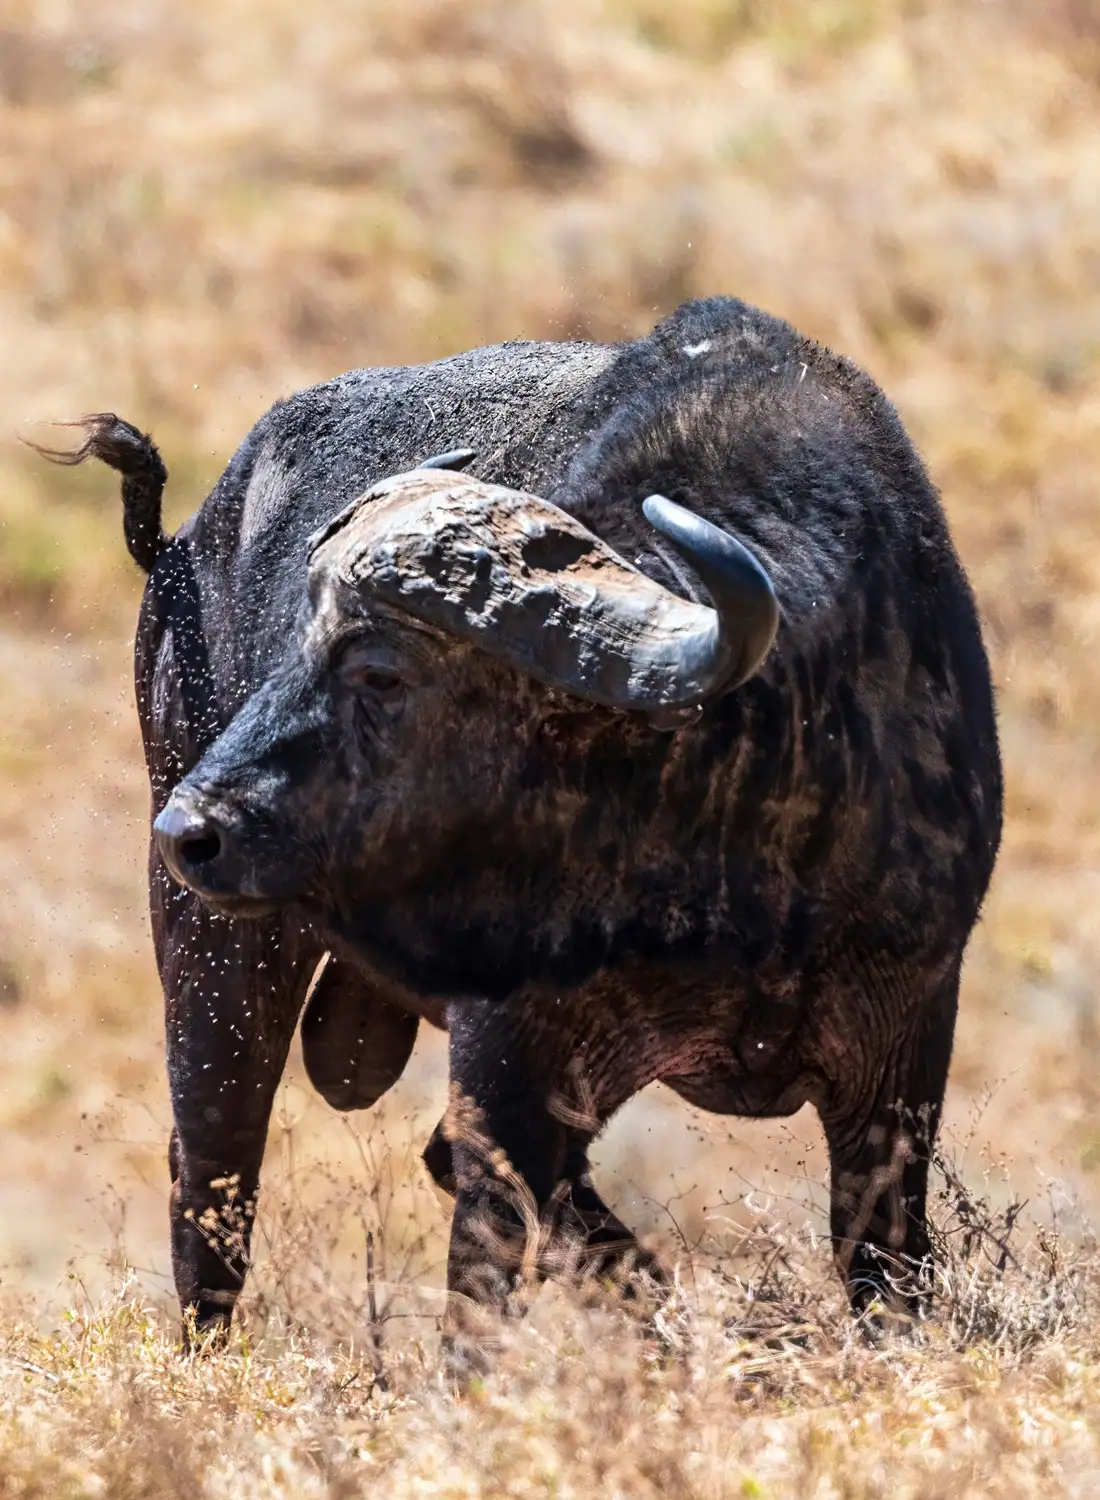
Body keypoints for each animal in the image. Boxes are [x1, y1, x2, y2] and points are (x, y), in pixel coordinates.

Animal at [41, 296, 1002, 1356]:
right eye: (298, 642)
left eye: (381, 674)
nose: (193, 828)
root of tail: (177, 546)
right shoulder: (508, 1062)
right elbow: (483, 1276)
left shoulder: (902, 1055)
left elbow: (882, 1266)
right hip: (217, 955)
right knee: (213, 1174)